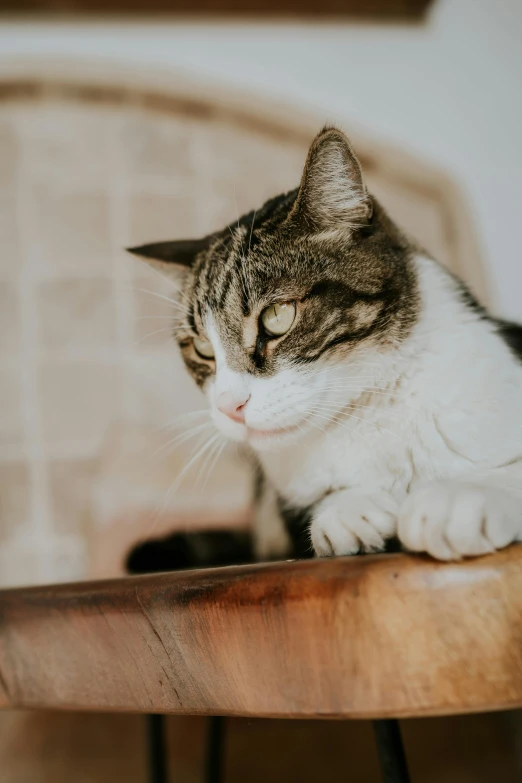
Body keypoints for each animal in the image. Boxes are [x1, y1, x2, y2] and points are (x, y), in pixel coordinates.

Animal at [128, 127, 520, 564]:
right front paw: (350, 508)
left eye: (277, 316)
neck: (371, 411)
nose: (229, 407)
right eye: (202, 348)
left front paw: (461, 498)